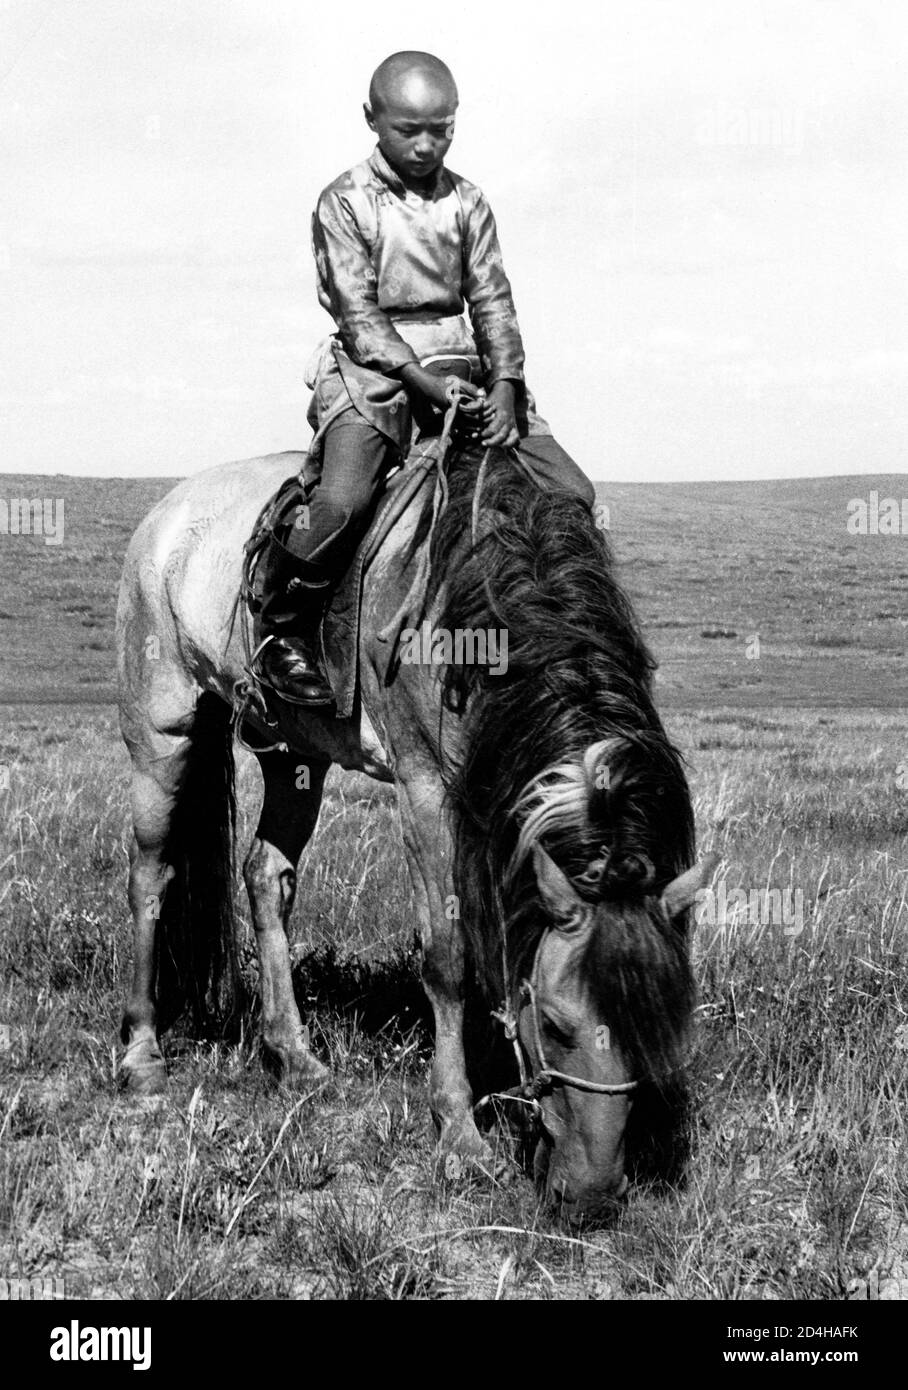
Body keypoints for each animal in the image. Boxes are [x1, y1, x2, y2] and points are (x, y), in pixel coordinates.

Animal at [115, 433, 709, 1217]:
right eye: (555, 1024)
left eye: (659, 1021)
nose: (590, 1198)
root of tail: (166, 514)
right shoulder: (428, 793)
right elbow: (448, 958)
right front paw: (459, 1134)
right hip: (162, 732)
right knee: (151, 878)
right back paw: (142, 1055)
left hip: (294, 753)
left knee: (266, 875)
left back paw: (295, 1058)